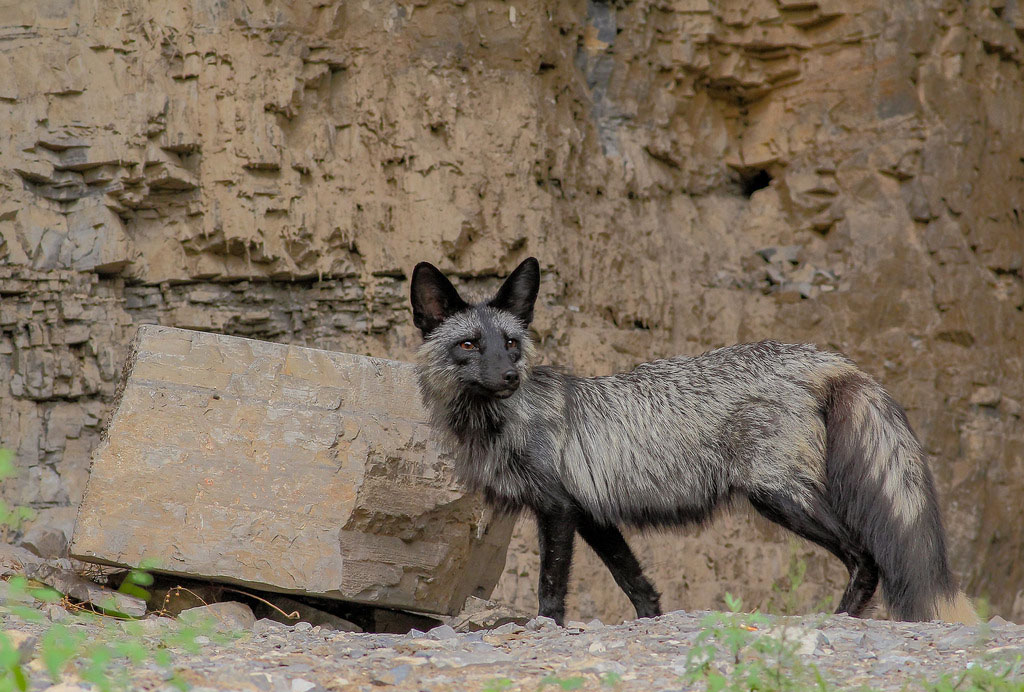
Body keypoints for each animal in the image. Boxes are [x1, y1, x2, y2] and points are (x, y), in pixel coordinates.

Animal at [409, 256, 974, 622]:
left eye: (510, 343)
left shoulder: (557, 509)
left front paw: (546, 628)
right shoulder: (590, 514)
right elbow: (636, 582)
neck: (502, 423)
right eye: (469, 345)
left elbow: (551, 588)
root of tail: (822, 357)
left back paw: (841, 618)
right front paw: (651, 623)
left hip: (777, 495)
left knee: (866, 556)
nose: (510, 377)